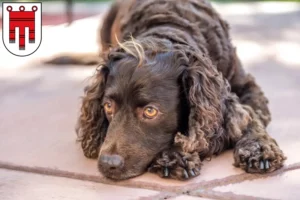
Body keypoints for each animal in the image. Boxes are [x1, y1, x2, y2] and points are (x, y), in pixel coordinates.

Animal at [45, 0, 286, 181]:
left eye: (150, 111)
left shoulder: (247, 88)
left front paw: (258, 149)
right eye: (108, 106)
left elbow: (251, 117)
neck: (169, 26)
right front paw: (175, 156)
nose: (107, 164)